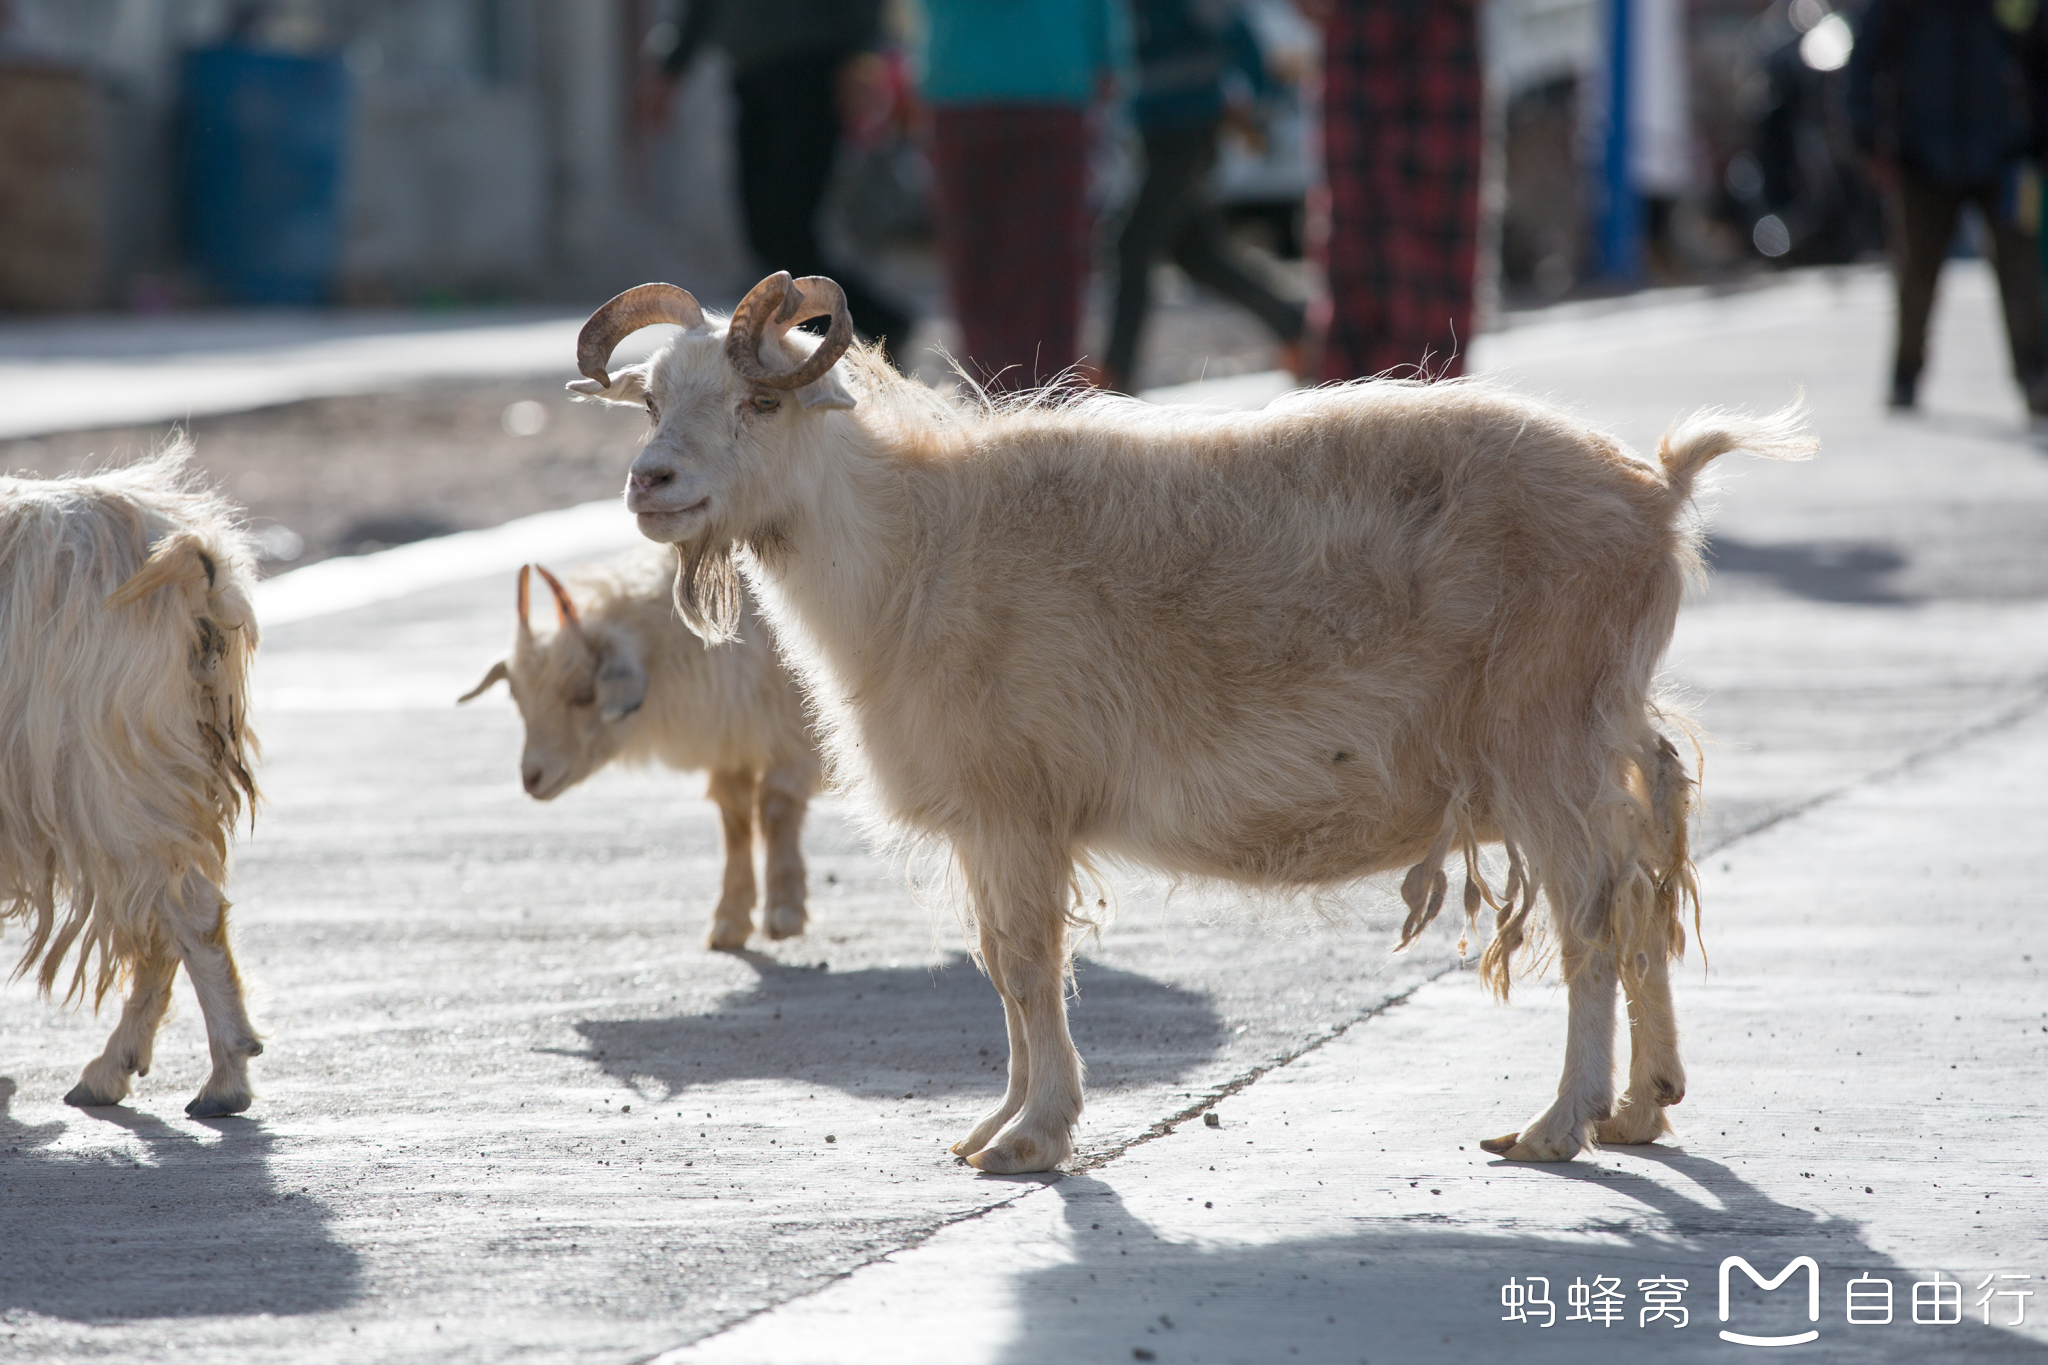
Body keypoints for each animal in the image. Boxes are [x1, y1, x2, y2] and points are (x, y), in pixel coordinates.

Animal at [460, 544, 819, 949]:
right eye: (516, 698)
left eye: (584, 694)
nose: (532, 777)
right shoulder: (733, 744)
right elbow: (735, 820)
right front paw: (729, 921)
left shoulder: (791, 736)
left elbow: (776, 810)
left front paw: (784, 913)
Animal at [573, 274, 1810, 1178]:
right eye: (652, 404)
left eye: (760, 402)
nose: (651, 482)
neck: (913, 547)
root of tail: (1657, 492)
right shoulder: (990, 824)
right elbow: (1000, 965)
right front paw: (992, 1129)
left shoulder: (1016, 807)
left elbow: (1028, 962)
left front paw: (1032, 1138)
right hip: (1602, 728)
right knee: (1647, 874)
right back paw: (1641, 1106)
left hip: (1544, 741)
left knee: (1591, 914)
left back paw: (1556, 1125)